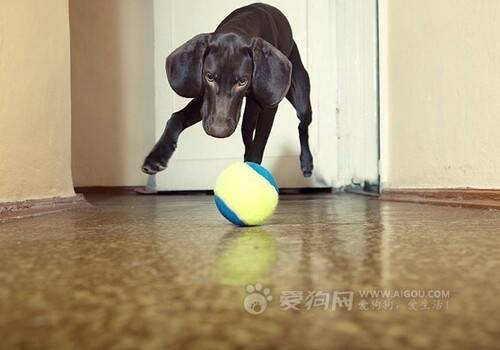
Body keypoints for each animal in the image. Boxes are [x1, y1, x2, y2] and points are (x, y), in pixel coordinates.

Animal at [142, 2, 312, 176]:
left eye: (242, 81)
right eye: (209, 77)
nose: (218, 131)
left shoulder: (269, 108)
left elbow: (258, 146)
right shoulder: (206, 105)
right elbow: (176, 117)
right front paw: (157, 156)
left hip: (301, 102)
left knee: (302, 125)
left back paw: (306, 163)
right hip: (248, 118)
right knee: (247, 138)